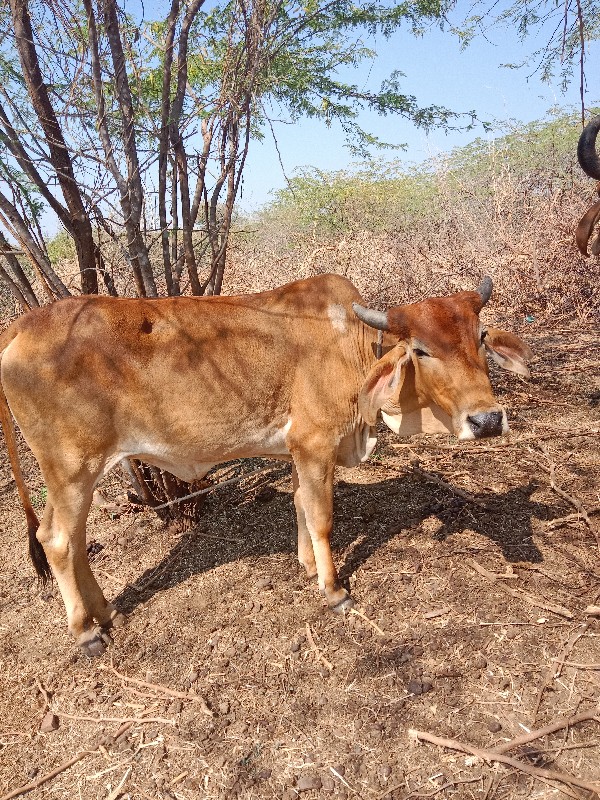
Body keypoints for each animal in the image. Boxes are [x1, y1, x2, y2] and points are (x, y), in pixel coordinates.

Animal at [2, 276, 532, 656]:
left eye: (481, 337)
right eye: (420, 350)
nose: (487, 420)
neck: (351, 347)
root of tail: (22, 326)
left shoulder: (297, 452)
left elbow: (300, 504)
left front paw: (307, 564)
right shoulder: (315, 445)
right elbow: (322, 517)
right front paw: (333, 589)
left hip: (78, 476)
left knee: (73, 541)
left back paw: (107, 612)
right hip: (72, 469)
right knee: (56, 539)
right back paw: (85, 633)